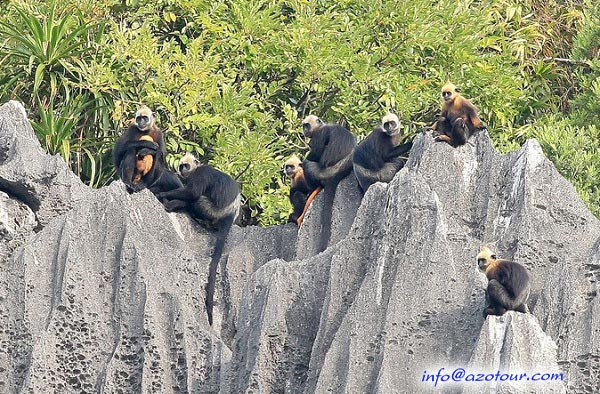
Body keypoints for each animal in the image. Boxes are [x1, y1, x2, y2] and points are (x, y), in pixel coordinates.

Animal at [157, 152, 241, 324]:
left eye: (186, 165)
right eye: (181, 165)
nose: (182, 169)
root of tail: (230, 213)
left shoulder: (201, 174)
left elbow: (193, 193)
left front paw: (164, 194)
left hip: (210, 209)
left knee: (196, 199)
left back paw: (172, 205)